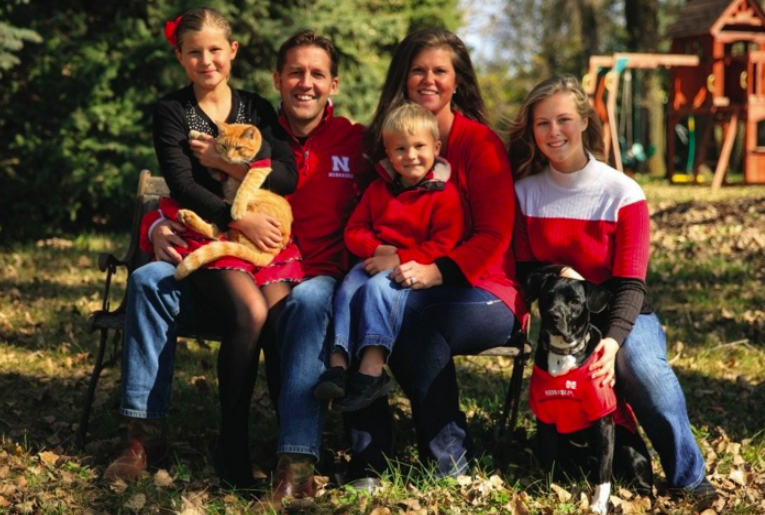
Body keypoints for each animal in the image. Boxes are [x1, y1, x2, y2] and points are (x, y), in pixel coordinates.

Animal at [173, 122, 292, 280]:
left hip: (255, 199)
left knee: (218, 233)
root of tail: (272, 253)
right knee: (218, 233)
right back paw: (187, 217)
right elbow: (214, 165)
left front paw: (237, 210)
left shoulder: (259, 169)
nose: (228, 157)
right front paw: (199, 135)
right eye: (224, 146)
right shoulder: (220, 174)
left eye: (238, 148)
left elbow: (244, 187)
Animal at [528, 268, 652, 512]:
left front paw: (598, 504)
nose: (553, 316)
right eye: (547, 296)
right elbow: (550, 459)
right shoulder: (544, 419)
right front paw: (549, 491)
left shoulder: (603, 421)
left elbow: (604, 471)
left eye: (575, 301)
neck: (563, 354)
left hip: (630, 450)